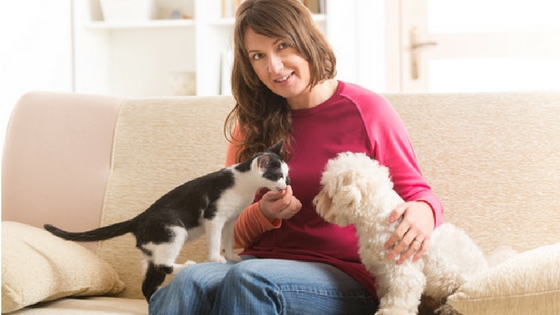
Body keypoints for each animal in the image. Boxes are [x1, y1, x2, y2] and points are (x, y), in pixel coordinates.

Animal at [44, 140, 288, 302]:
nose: (287, 185)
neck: (244, 184)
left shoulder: (231, 219)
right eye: (278, 176)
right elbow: (215, 239)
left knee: (149, 282)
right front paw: (216, 258)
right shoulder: (214, 216)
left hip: (152, 251)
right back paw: (188, 265)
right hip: (173, 230)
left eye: (286, 175)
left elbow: (227, 239)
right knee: (165, 265)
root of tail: (138, 219)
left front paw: (229, 255)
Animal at [312, 152, 488, 314]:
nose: (315, 201)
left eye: (328, 192)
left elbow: (398, 302)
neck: (380, 220)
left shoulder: (404, 273)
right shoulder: (384, 274)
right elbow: (386, 295)